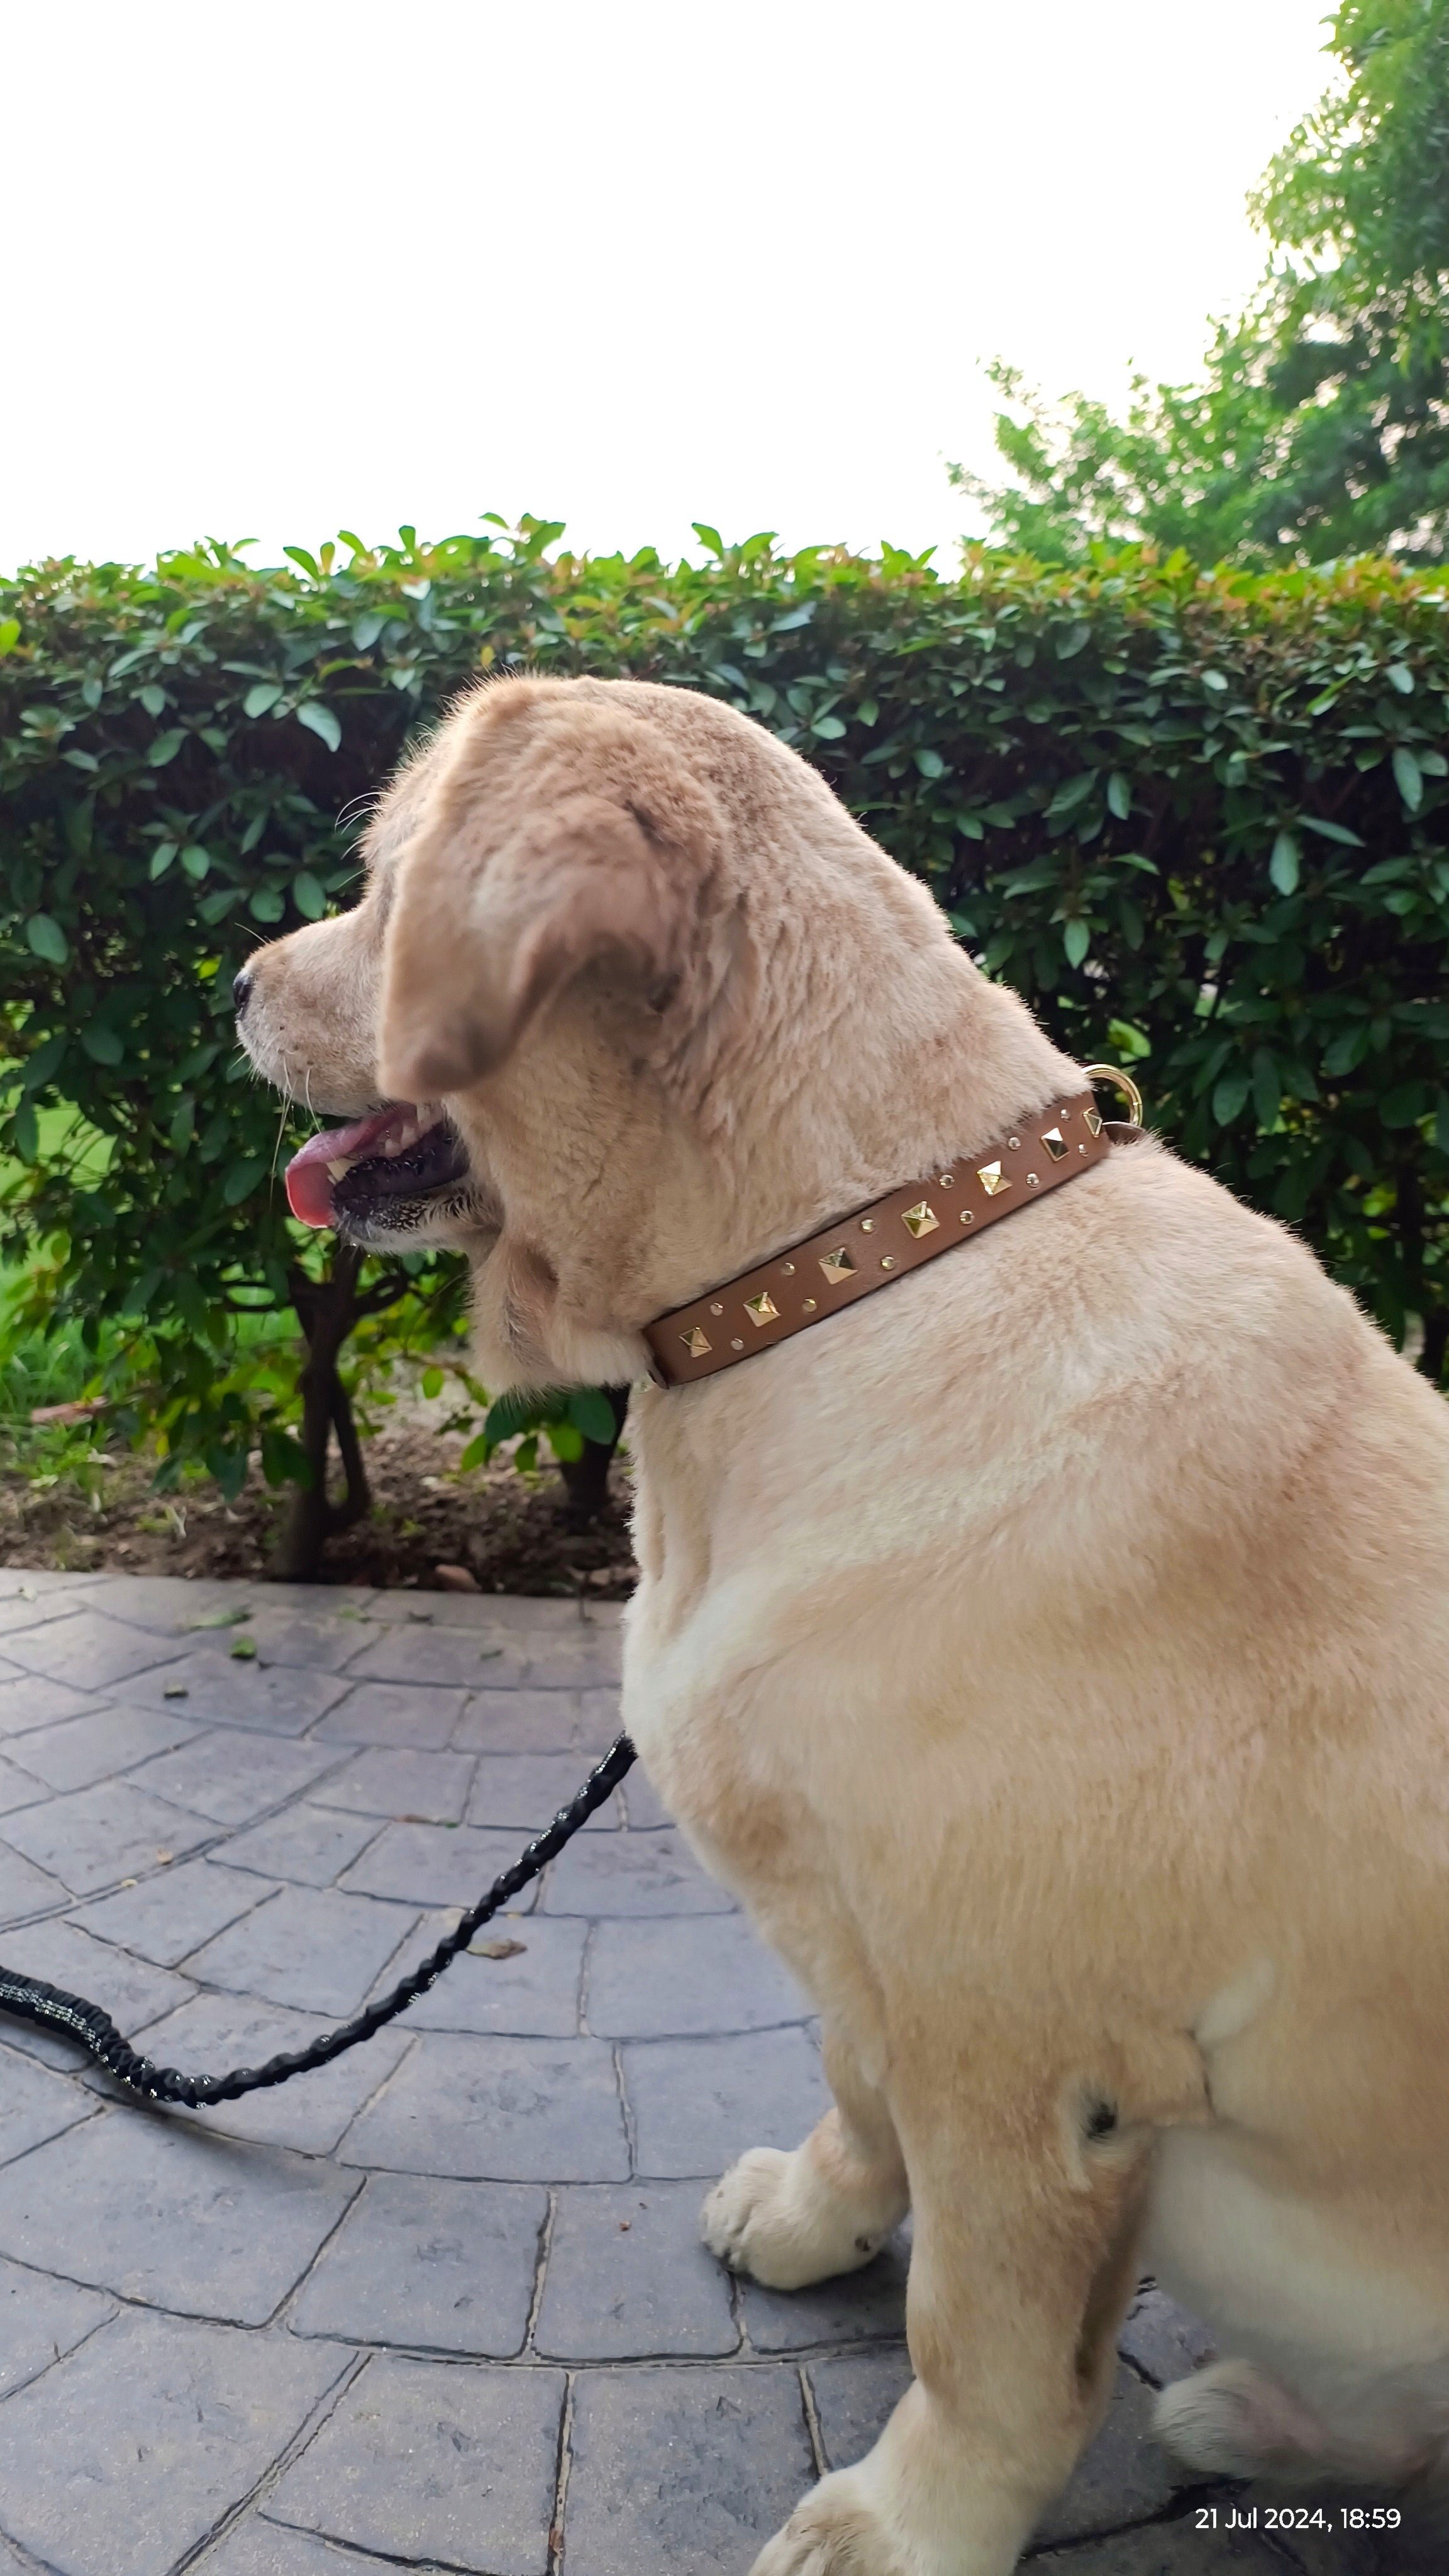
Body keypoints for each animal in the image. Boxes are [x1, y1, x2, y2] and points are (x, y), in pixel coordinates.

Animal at [235, 680, 1443, 2576]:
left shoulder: (1024, 2047)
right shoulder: (869, 1948)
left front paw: (907, 2525)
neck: (829, 1274)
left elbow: (985, 2339)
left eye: (382, 882)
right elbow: (853, 2088)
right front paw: (817, 2219)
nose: (236, 981)